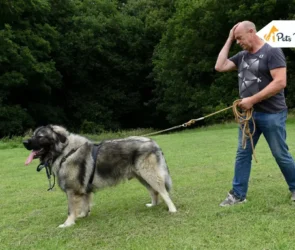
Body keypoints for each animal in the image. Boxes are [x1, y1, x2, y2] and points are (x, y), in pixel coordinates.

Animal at [23, 124, 177, 227]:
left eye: (40, 136)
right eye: (33, 135)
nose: (24, 142)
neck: (66, 152)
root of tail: (153, 142)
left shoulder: (72, 191)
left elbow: (71, 209)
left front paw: (68, 223)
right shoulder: (83, 190)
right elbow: (84, 204)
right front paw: (83, 215)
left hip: (149, 175)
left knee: (163, 192)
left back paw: (172, 209)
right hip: (142, 177)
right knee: (154, 191)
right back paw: (153, 205)